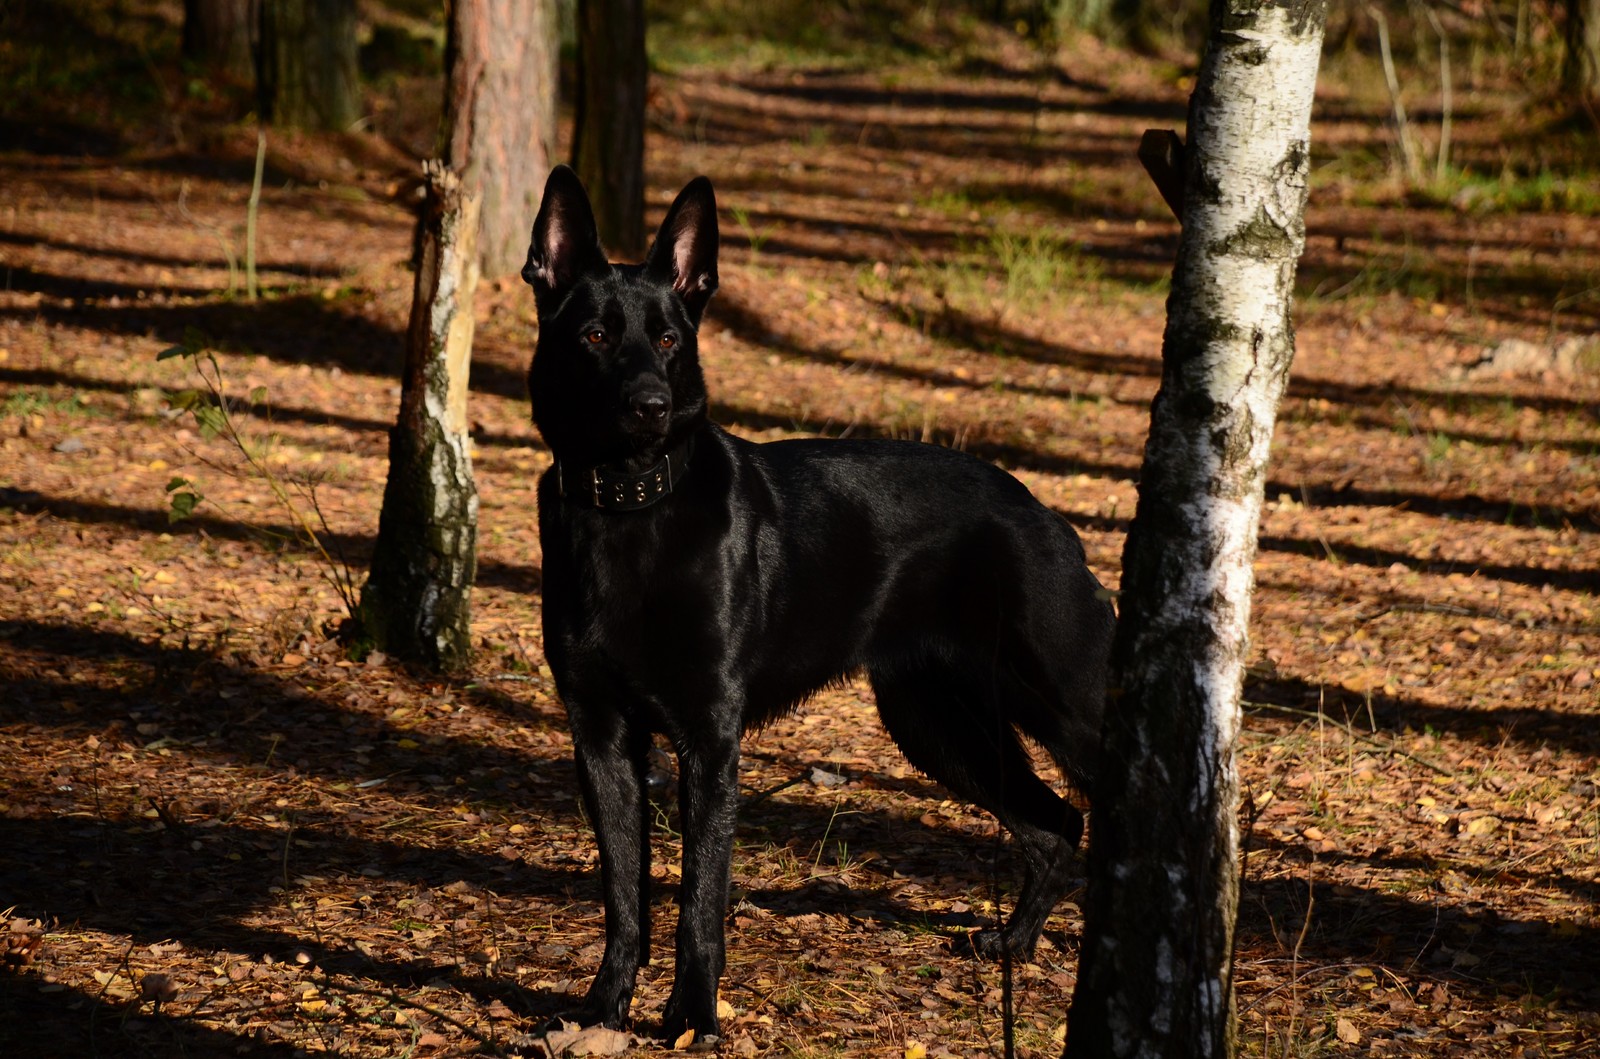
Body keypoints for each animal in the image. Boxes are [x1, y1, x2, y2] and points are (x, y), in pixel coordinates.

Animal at [524, 161, 1113, 1043]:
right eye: (594, 335)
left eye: (668, 340)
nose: (650, 406)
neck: (627, 506)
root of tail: (1041, 512)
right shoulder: (601, 738)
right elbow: (624, 890)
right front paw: (604, 1008)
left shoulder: (709, 741)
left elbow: (699, 897)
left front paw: (692, 1018)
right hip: (938, 725)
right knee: (1055, 825)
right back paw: (1012, 946)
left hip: (1057, 707)